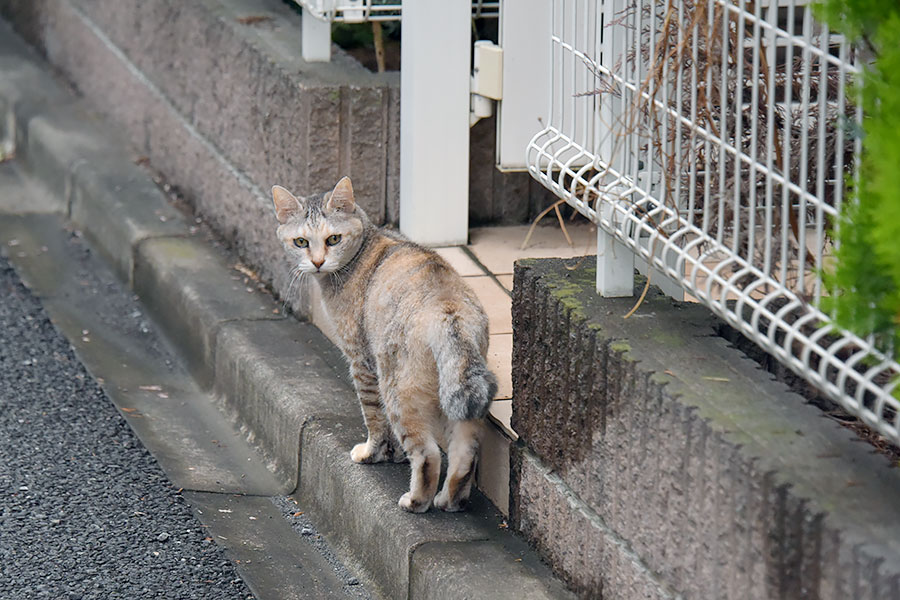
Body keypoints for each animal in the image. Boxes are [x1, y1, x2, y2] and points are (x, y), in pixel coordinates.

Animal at [270, 177, 496, 510]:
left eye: (333, 239)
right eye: (301, 242)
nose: (318, 262)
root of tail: (448, 308)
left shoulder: (361, 361)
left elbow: (374, 419)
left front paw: (373, 453)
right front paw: (394, 455)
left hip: (398, 391)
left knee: (428, 454)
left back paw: (416, 501)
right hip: (460, 396)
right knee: (465, 454)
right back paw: (449, 500)